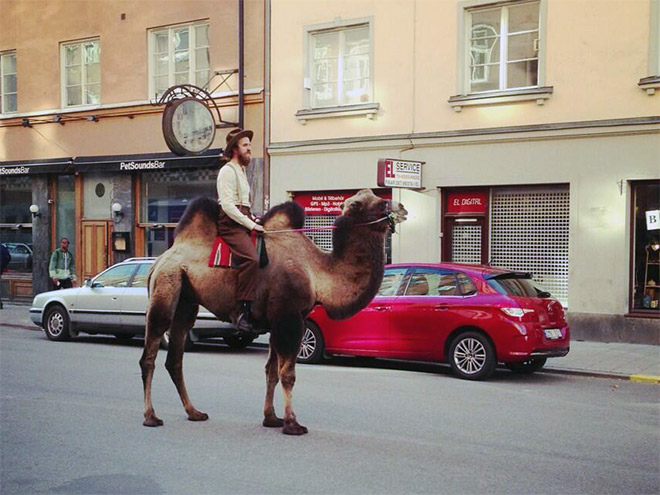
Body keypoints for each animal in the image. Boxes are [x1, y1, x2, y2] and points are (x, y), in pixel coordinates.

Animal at [140, 188, 408, 436]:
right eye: (378, 203)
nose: (403, 207)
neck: (317, 272)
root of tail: (159, 260)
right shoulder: (288, 317)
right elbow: (287, 373)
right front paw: (292, 424)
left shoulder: (278, 320)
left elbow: (271, 371)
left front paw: (271, 418)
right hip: (167, 284)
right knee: (150, 353)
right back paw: (151, 417)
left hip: (186, 301)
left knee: (175, 357)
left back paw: (194, 412)